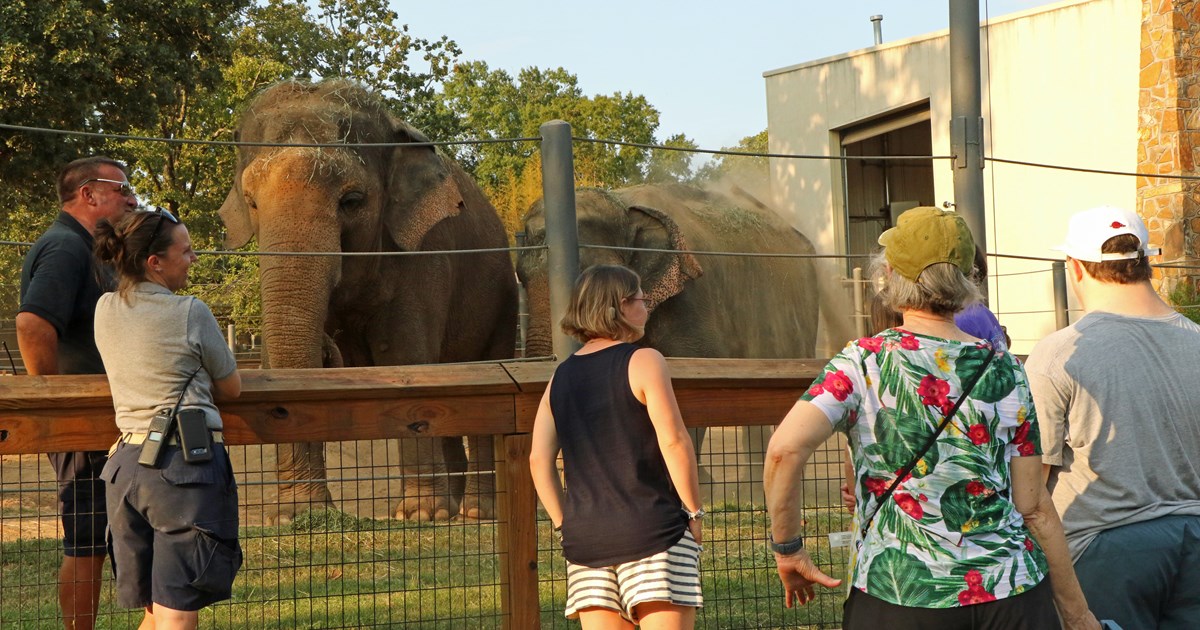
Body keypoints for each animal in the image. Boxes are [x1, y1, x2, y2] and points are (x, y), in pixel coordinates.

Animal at [219, 79, 517, 523]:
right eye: (252, 201)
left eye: (352, 200)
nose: (330, 348)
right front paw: (292, 517)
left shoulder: (424, 254)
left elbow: (408, 360)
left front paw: (419, 515)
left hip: (502, 302)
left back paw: (474, 514)